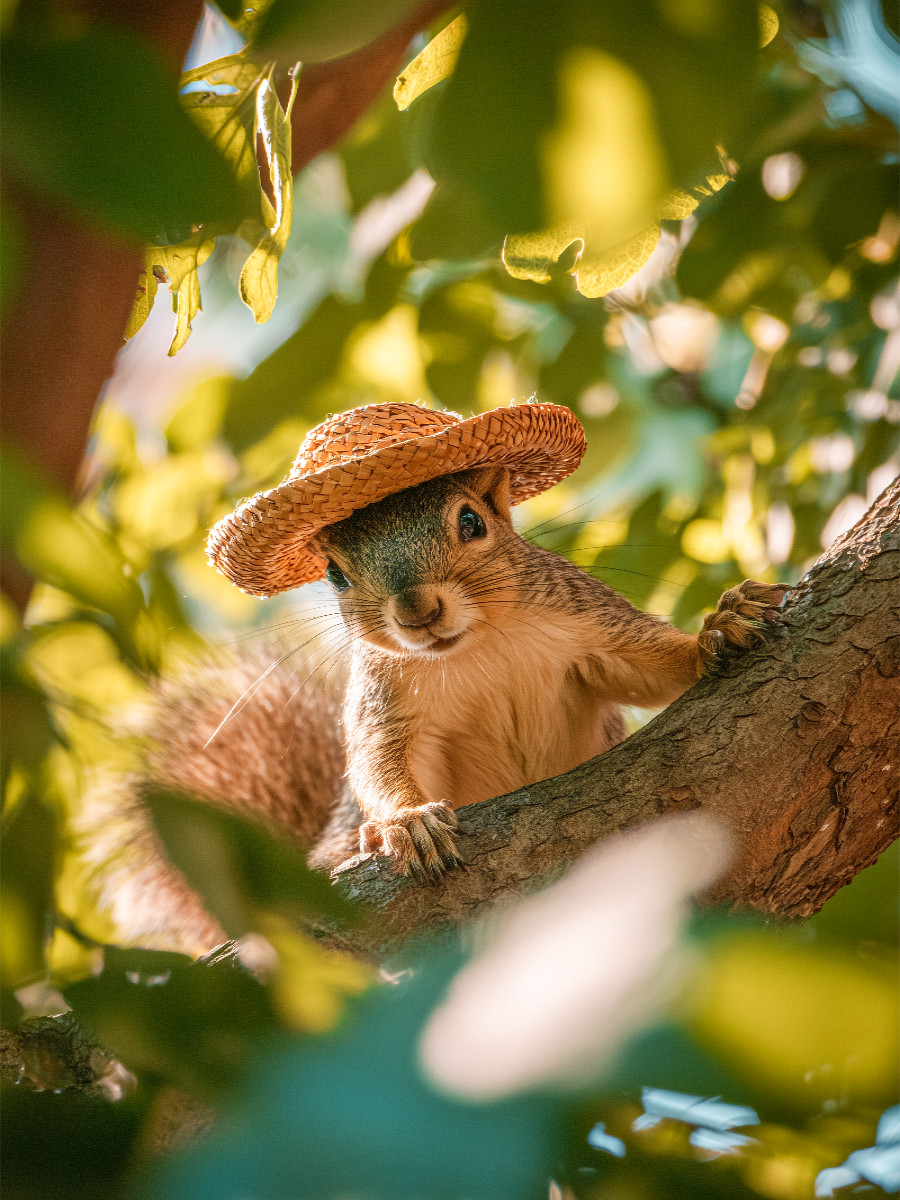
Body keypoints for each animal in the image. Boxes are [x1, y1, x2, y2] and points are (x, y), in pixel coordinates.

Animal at [80, 403, 787, 954]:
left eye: (472, 521)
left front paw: (716, 631)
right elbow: (379, 761)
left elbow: (649, 664)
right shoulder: (387, 701)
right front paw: (407, 822)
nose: (416, 610)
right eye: (334, 573)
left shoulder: (587, 624)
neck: (475, 648)